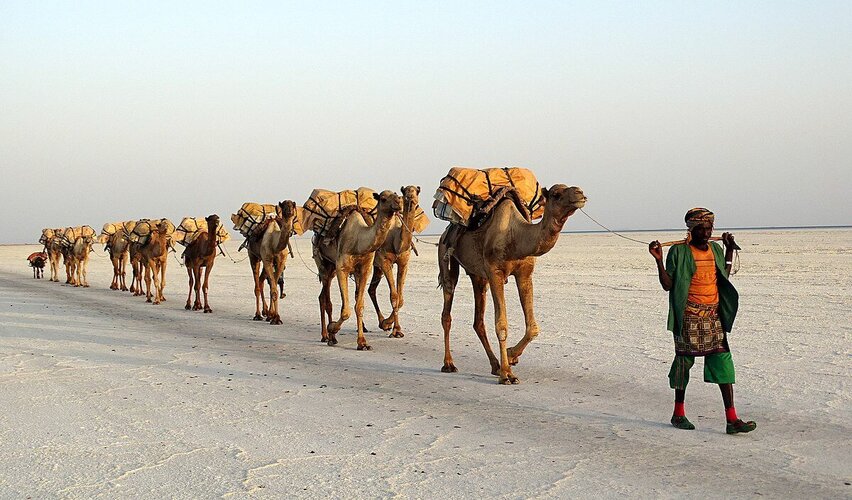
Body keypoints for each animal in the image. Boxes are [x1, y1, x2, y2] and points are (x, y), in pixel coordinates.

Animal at [314, 189, 404, 350]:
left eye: (396, 194)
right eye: (383, 198)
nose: (399, 201)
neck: (358, 240)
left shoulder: (364, 269)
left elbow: (359, 305)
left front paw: (362, 342)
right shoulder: (342, 268)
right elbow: (345, 311)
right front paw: (332, 328)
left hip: (332, 269)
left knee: (323, 297)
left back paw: (330, 336)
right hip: (323, 265)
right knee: (326, 300)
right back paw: (327, 336)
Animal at [364, 186, 422, 338]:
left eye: (416, 191)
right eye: (405, 191)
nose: (409, 197)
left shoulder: (404, 263)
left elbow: (400, 298)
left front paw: (387, 324)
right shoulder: (385, 261)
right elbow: (394, 296)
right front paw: (395, 329)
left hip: (376, 267)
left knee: (371, 289)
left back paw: (380, 322)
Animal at [440, 184, 584, 382]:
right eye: (556, 194)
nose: (580, 193)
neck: (516, 236)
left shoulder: (525, 273)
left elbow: (533, 327)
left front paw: (510, 356)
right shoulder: (495, 273)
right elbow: (501, 324)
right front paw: (507, 374)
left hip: (478, 276)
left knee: (478, 321)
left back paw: (495, 365)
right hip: (445, 253)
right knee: (447, 305)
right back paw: (449, 364)